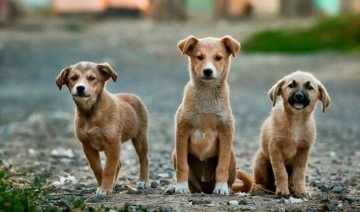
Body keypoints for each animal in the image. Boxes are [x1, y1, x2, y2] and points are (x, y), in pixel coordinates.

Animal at [54, 61, 149, 197]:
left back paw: (143, 181)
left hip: (140, 137)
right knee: (119, 164)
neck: (91, 112)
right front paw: (102, 186)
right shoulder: (87, 146)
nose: (80, 88)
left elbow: (109, 168)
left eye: (92, 78)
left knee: (144, 159)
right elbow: (98, 168)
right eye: (73, 78)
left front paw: (105, 189)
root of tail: (133, 95)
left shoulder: (113, 143)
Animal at [172, 35, 252, 195]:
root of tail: (204, 187)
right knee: (192, 183)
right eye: (199, 57)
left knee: (228, 177)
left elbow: (221, 166)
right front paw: (181, 186)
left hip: (232, 156)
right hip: (174, 153)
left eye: (218, 58)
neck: (206, 95)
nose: (208, 71)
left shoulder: (226, 132)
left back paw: (226, 187)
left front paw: (221, 187)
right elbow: (183, 166)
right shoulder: (182, 131)